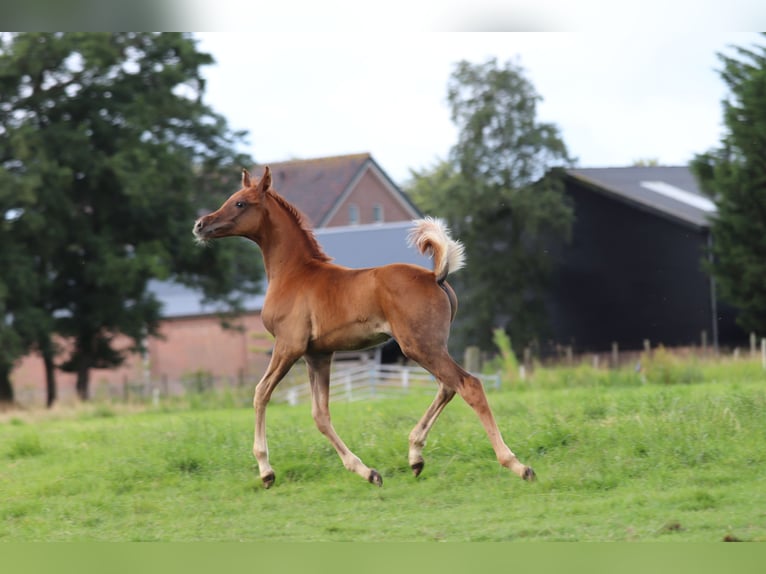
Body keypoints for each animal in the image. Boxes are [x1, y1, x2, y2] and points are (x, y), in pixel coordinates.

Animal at [195, 169, 536, 488]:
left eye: (240, 202)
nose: (200, 224)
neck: (293, 273)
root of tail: (434, 276)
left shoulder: (288, 345)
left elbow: (260, 393)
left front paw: (266, 471)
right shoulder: (318, 354)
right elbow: (320, 415)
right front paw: (367, 472)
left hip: (419, 345)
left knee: (468, 385)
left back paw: (516, 465)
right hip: (429, 346)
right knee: (447, 386)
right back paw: (415, 456)